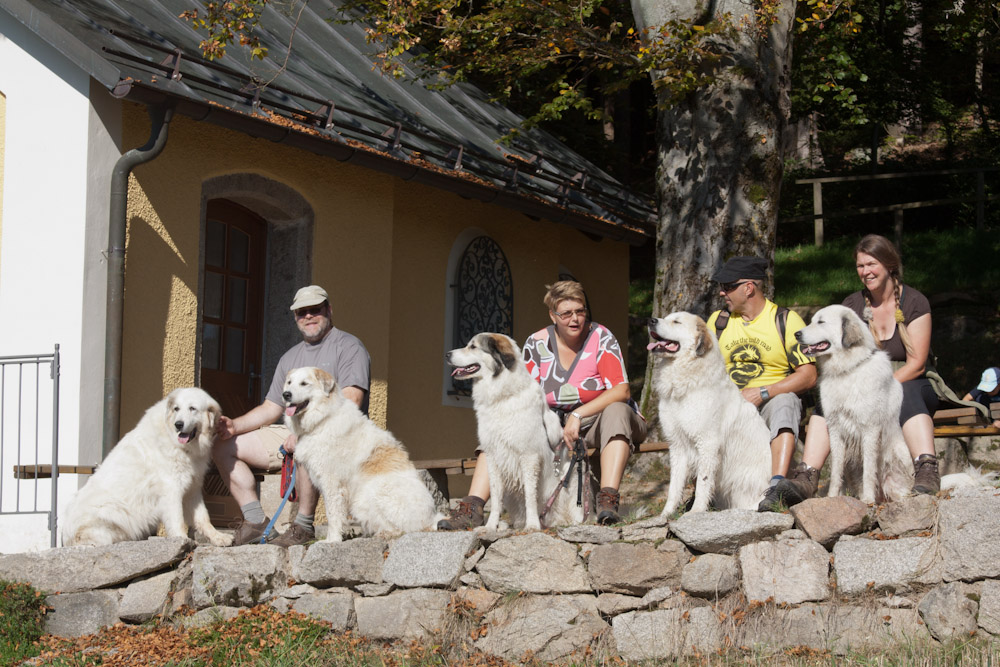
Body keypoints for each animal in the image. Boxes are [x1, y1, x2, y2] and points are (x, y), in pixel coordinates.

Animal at [62, 386, 232, 548]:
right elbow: (177, 518)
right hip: (111, 507)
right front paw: (183, 540)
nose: (178, 424)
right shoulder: (171, 489)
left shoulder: (192, 489)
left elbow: (203, 518)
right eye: (176, 409)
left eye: (192, 408)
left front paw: (219, 538)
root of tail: (66, 536)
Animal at [280, 366, 440, 544]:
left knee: (402, 530)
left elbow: (332, 515)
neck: (323, 419)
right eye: (289, 382)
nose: (286, 394)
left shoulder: (332, 484)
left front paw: (332, 540)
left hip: (370, 495)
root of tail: (430, 519)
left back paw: (384, 534)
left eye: (304, 383)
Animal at [446, 334, 584, 532]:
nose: (447, 354)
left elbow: (530, 495)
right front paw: (491, 526)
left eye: (473, 346)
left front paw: (532, 525)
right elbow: (496, 498)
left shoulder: (529, 456)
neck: (502, 397)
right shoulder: (493, 456)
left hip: (570, 479)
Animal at [648, 314, 772, 516]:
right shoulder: (677, 445)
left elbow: (703, 483)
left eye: (677, 322)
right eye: (666, 318)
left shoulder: (707, 443)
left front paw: (696, 511)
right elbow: (674, 486)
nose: (650, 320)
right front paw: (666, 514)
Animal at [796, 306, 916, 504]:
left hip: (900, 454)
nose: (796, 334)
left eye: (821, 322)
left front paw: (867, 499)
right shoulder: (835, 429)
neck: (847, 370)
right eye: (812, 321)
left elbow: (869, 470)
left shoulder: (870, 429)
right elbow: (836, 471)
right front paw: (832, 497)